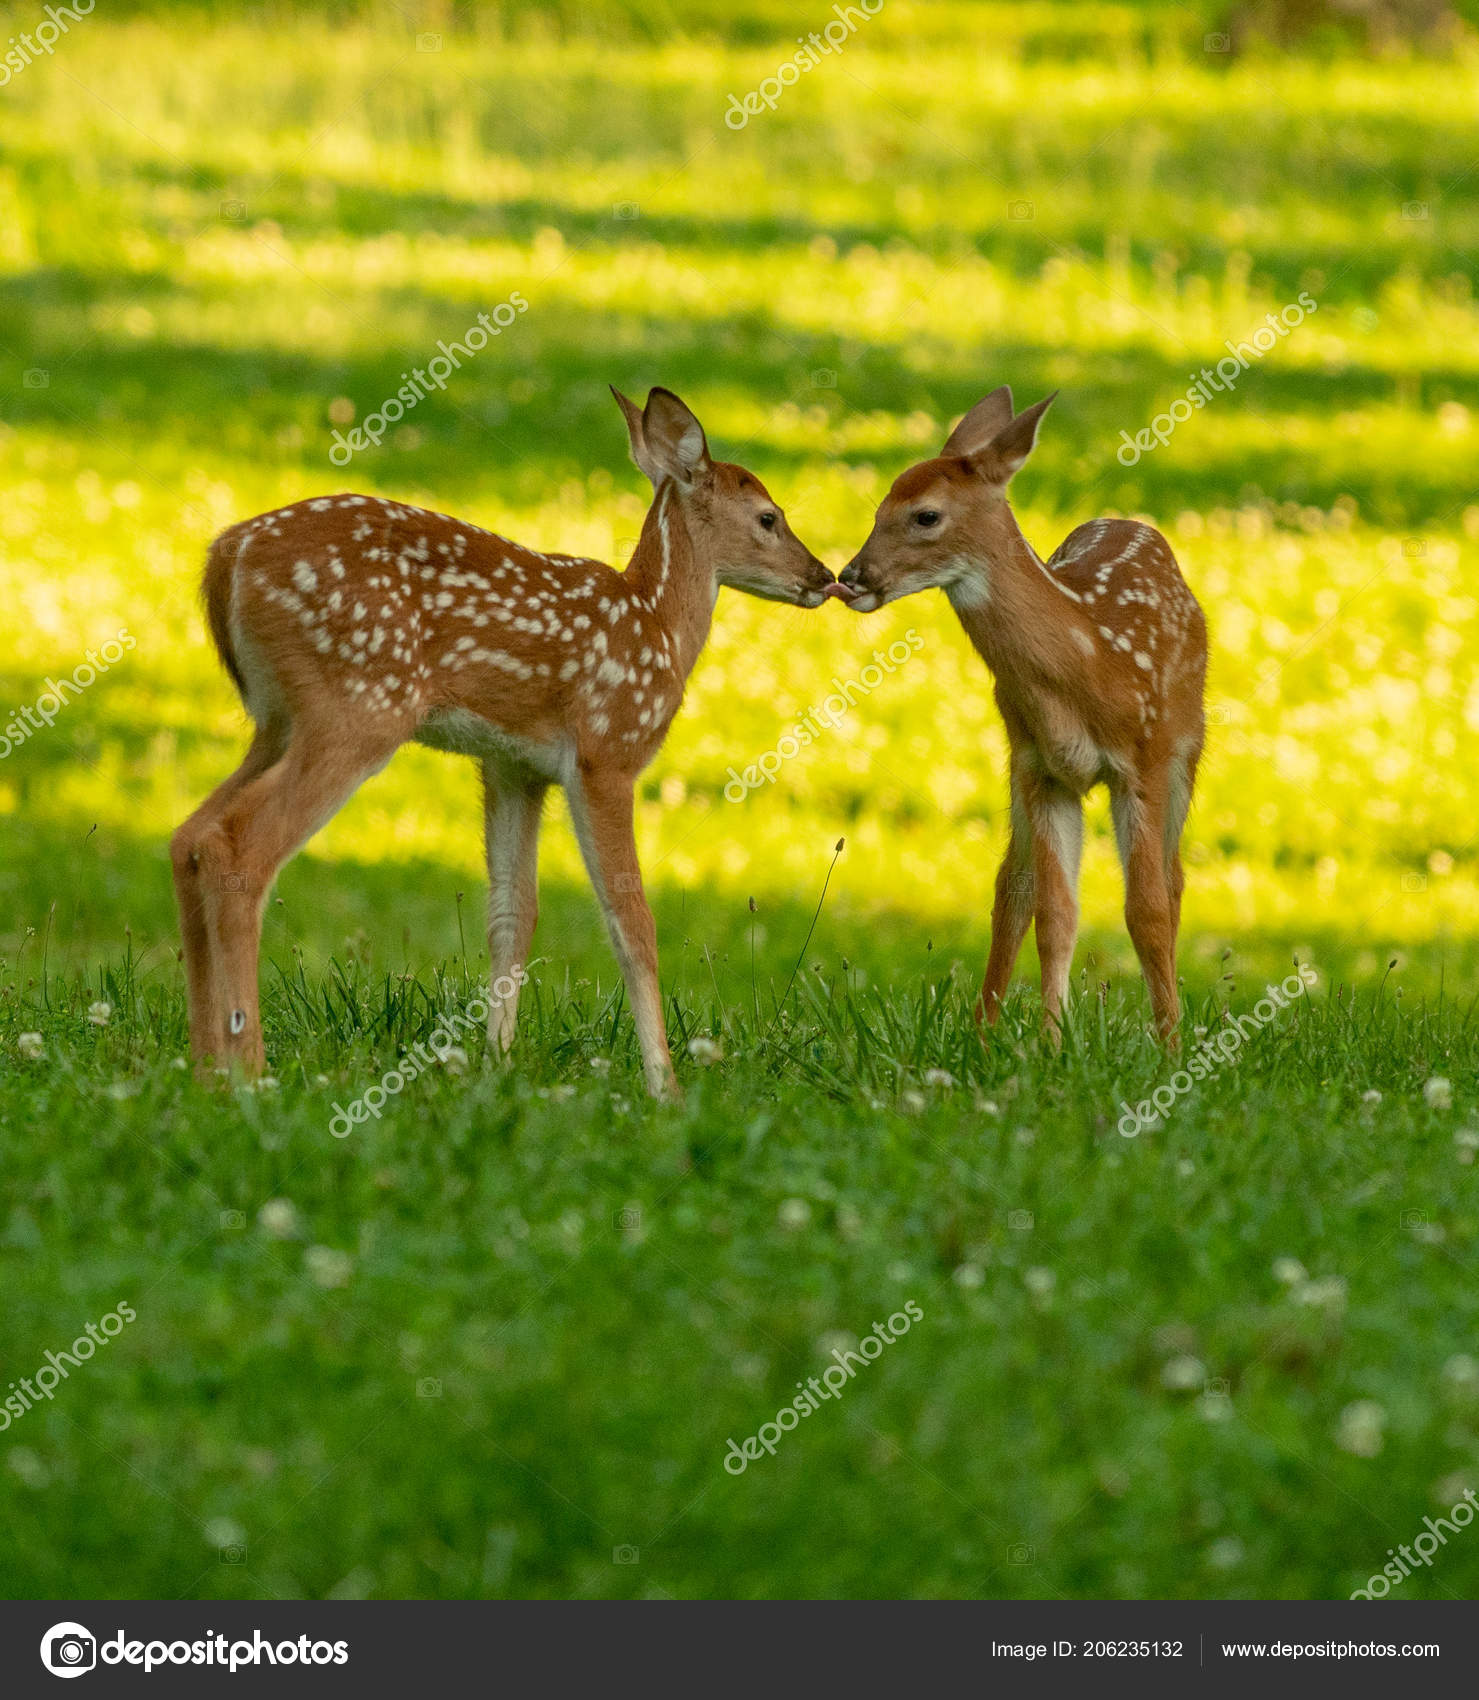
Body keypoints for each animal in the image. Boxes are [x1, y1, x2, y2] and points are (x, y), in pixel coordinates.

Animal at [171, 386, 835, 1099]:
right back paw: (248, 1069)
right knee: (239, 847)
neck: (657, 626)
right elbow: (631, 920)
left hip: (277, 719)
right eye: (769, 517)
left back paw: (205, 1065)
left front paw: (494, 1062)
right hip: (358, 705)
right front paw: (665, 1085)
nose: (825, 575)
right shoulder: (608, 751)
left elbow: (513, 916)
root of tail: (225, 557)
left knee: (190, 836)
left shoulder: (513, 766)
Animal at [837, 387, 1207, 1044]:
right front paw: (1050, 1044)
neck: (1087, 667)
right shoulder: (1043, 768)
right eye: (878, 506)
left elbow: (1147, 910)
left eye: (925, 515)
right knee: (1013, 884)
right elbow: (1054, 912)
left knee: (1173, 880)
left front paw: (1170, 1047)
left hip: (1187, 751)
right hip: (1016, 763)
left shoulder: (1144, 760)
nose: (851, 577)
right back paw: (984, 1032)